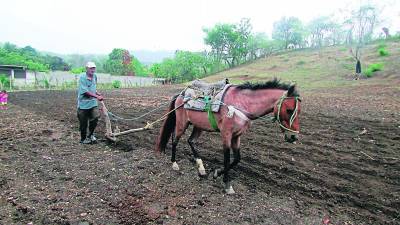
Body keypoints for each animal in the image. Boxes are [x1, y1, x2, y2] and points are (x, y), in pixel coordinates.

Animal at [155, 78, 302, 193]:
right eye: (289, 110)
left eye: (299, 111)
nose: (293, 137)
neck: (240, 104)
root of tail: (181, 94)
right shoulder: (226, 134)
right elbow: (226, 158)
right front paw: (227, 184)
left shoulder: (237, 136)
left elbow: (237, 159)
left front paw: (217, 173)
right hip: (182, 123)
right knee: (175, 140)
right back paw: (174, 163)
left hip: (198, 126)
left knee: (191, 141)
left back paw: (201, 168)